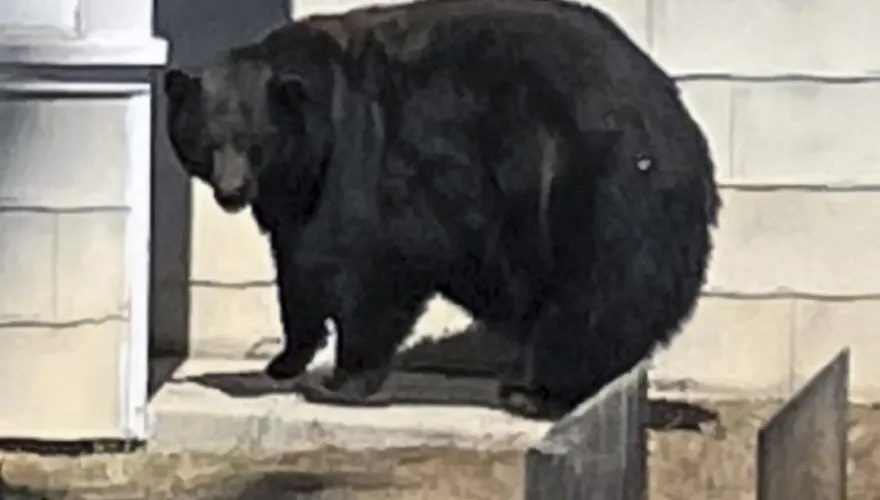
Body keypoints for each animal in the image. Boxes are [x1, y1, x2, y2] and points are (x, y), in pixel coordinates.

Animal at [162, 0, 721, 420]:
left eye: (254, 142)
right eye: (207, 140)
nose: (231, 192)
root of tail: (682, 127)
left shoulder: (375, 156)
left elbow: (377, 261)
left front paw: (342, 379)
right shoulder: (298, 196)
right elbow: (299, 267)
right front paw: (284, 361)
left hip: (594, 185)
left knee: (597, 291)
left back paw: (536, 391)